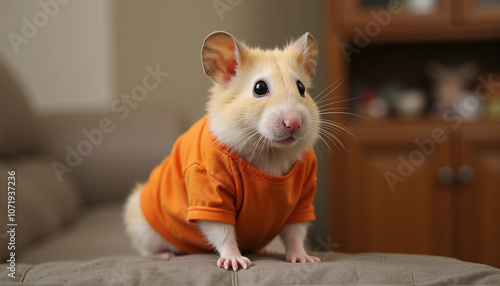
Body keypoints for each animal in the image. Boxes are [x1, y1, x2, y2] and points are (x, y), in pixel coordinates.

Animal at [124, 30, 320, 270]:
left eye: (301, 88)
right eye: (260, 88)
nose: (294, 123)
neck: (269, 151)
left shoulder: (303, 198)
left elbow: (295, 233)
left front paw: (305, 259)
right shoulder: (209, 193)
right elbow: (221, 230)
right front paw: (235, 263)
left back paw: (268, 249)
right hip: (144, 228)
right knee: (148, 249)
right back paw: (164, 255)